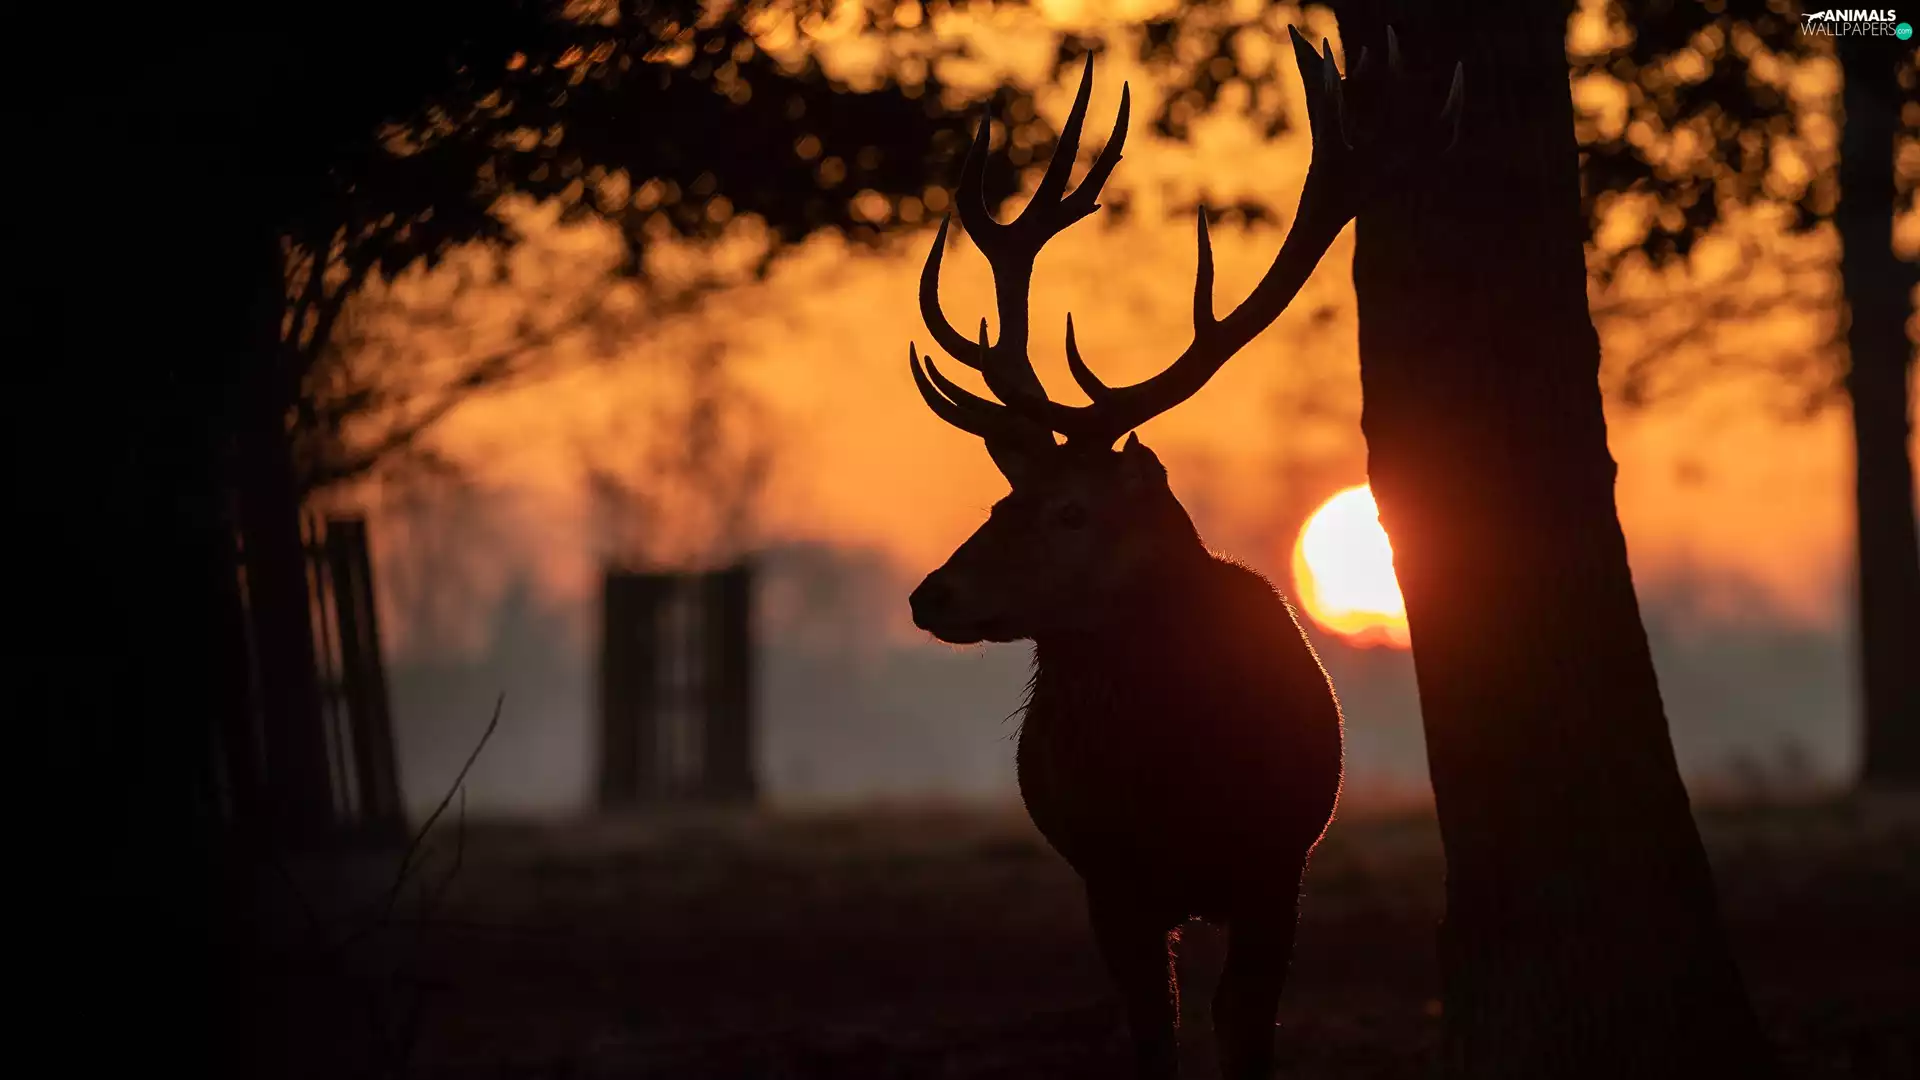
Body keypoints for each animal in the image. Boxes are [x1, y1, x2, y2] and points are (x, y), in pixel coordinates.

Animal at [904, 28, 1460, 1080]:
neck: (1180, 793)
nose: (931, 596)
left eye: (1072, 511)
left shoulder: (1276, 868)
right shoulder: (1110, 880)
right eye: (1002, 498)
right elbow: (1151, 1033)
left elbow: (1246, 1029)